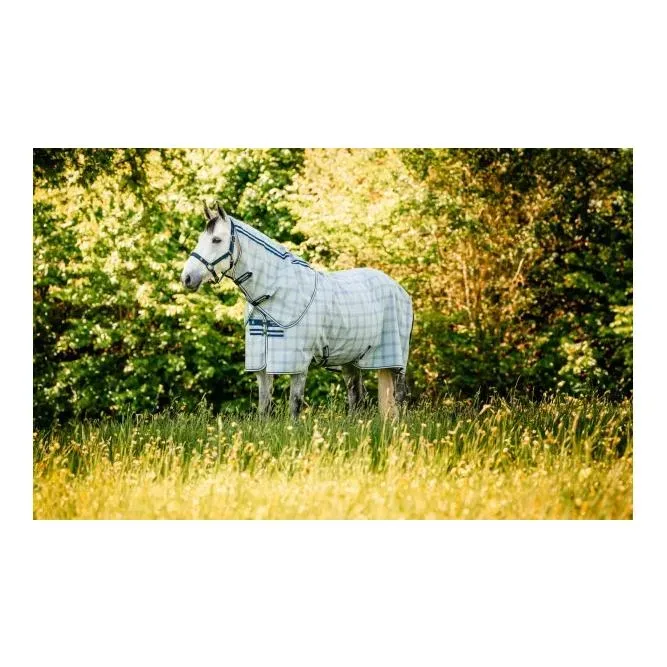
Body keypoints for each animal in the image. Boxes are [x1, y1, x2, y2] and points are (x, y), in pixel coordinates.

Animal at [180, 201, 413, 420]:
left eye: (216, 240)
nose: (187, 278)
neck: (273, 293)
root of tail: (400, 290)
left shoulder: (297, 362)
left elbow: (295, 404)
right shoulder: (262, 364)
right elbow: (264, 406)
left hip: (396, 360)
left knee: (399, 397)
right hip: (350, 359)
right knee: (357, 397)